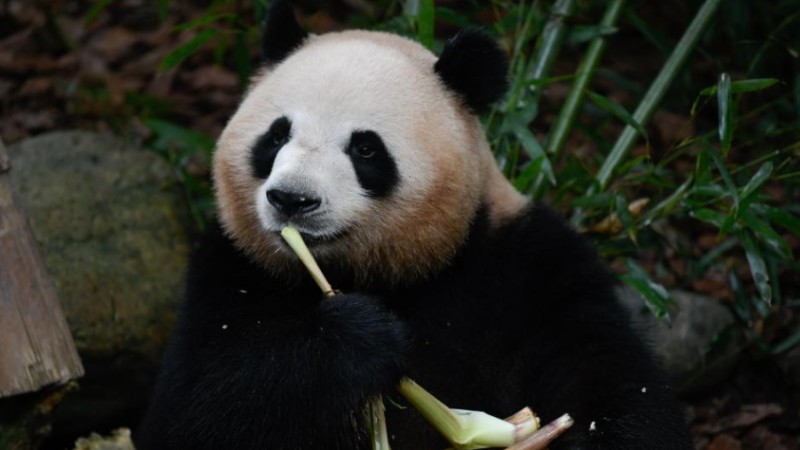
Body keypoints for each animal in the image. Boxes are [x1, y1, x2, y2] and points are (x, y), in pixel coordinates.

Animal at [136, 1, 692, 449]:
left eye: (365, 149)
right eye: (276, 137)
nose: (292, 199)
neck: (382, 273)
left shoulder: (522, 264)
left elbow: (611, 383)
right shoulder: (233, 271)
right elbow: (198, 410)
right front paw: (358, 337)